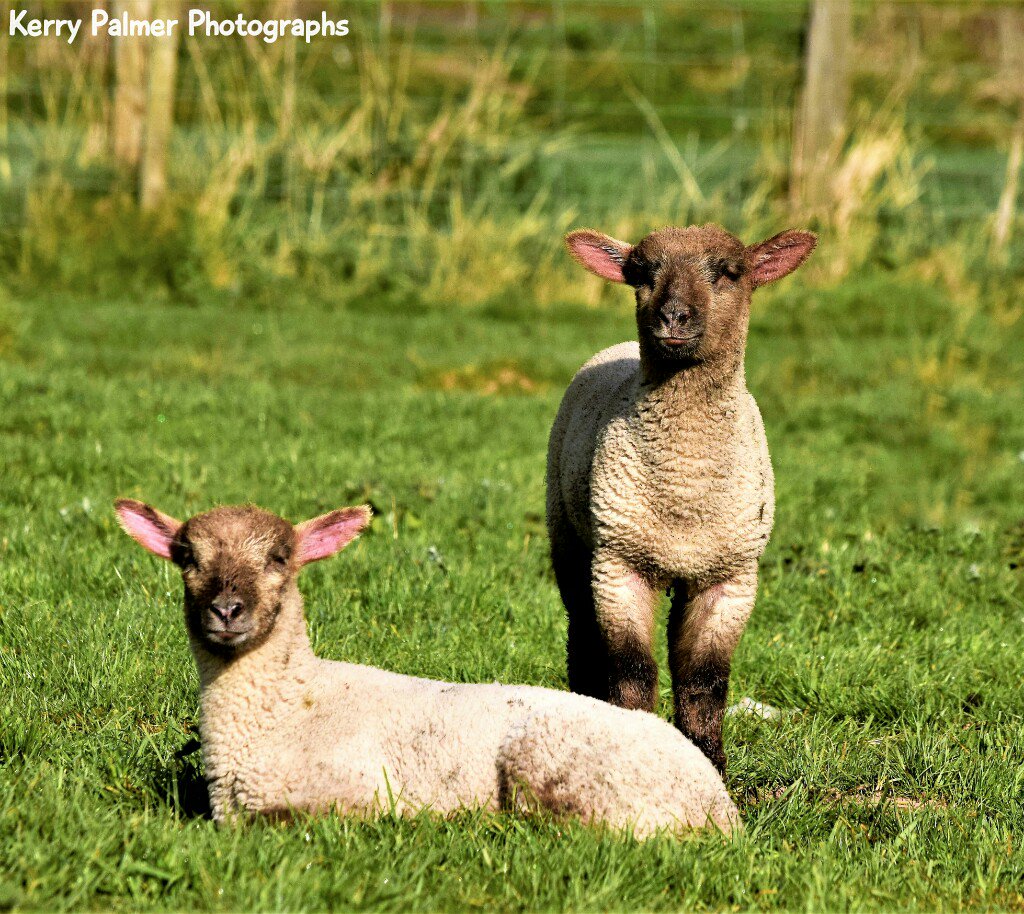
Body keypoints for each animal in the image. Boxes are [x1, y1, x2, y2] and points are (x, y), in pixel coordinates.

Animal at [114, 498, 739, 838]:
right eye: (187, 559)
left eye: (279, 558)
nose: (226, 610)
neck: (290, 704)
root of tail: (719, 808)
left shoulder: (352, 792)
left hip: (570, 775)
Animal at [547, 224, 816, 773]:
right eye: (642, 274)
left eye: (729, 273)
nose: (673, 317)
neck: (684, 489)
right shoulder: (619, 566)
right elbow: (631, 670)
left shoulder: (729, 578)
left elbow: (703, 680)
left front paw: (709, 761)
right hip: (569, 536)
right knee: (581, 637)